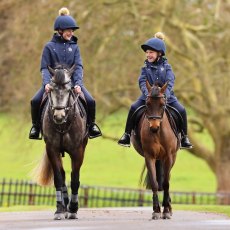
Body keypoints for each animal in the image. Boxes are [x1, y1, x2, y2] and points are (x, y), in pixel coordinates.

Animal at [130, 81, 179, 219]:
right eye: (147, 104)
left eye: (162, 105)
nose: (154, 127)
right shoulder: (149, 156)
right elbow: (154, 182)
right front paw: (156, 211)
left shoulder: (168, 157)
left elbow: (166, 183)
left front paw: (166, 210)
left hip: (172, 158)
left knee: (167, 178)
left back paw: (169, 207)